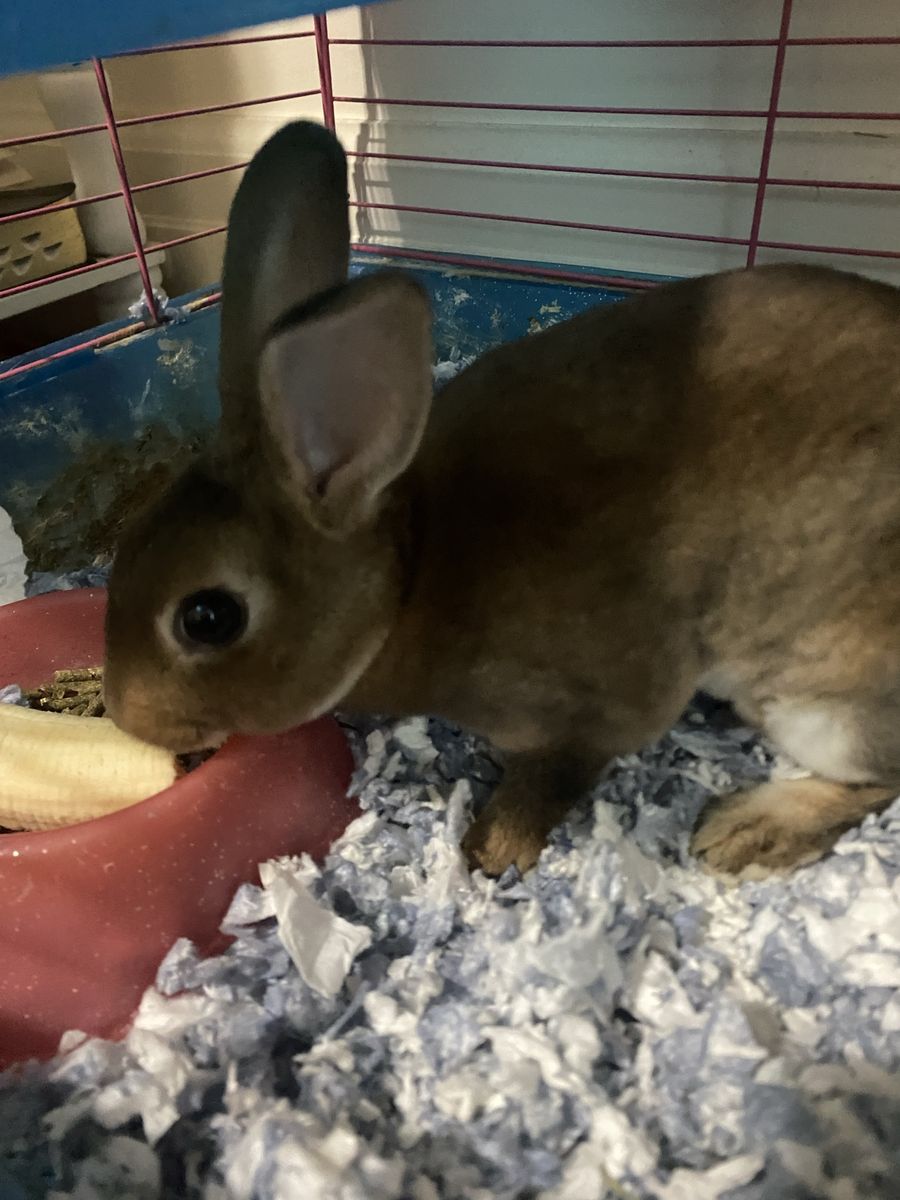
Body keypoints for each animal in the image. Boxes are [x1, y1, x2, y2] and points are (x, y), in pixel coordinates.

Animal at [103, 120, 900, 880]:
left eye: (208, 617)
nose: (126, 715)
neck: (409, 574)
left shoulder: (591, 713)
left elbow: (551, 782)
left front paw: (491, 851)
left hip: (823, 702)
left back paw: (748, 831)